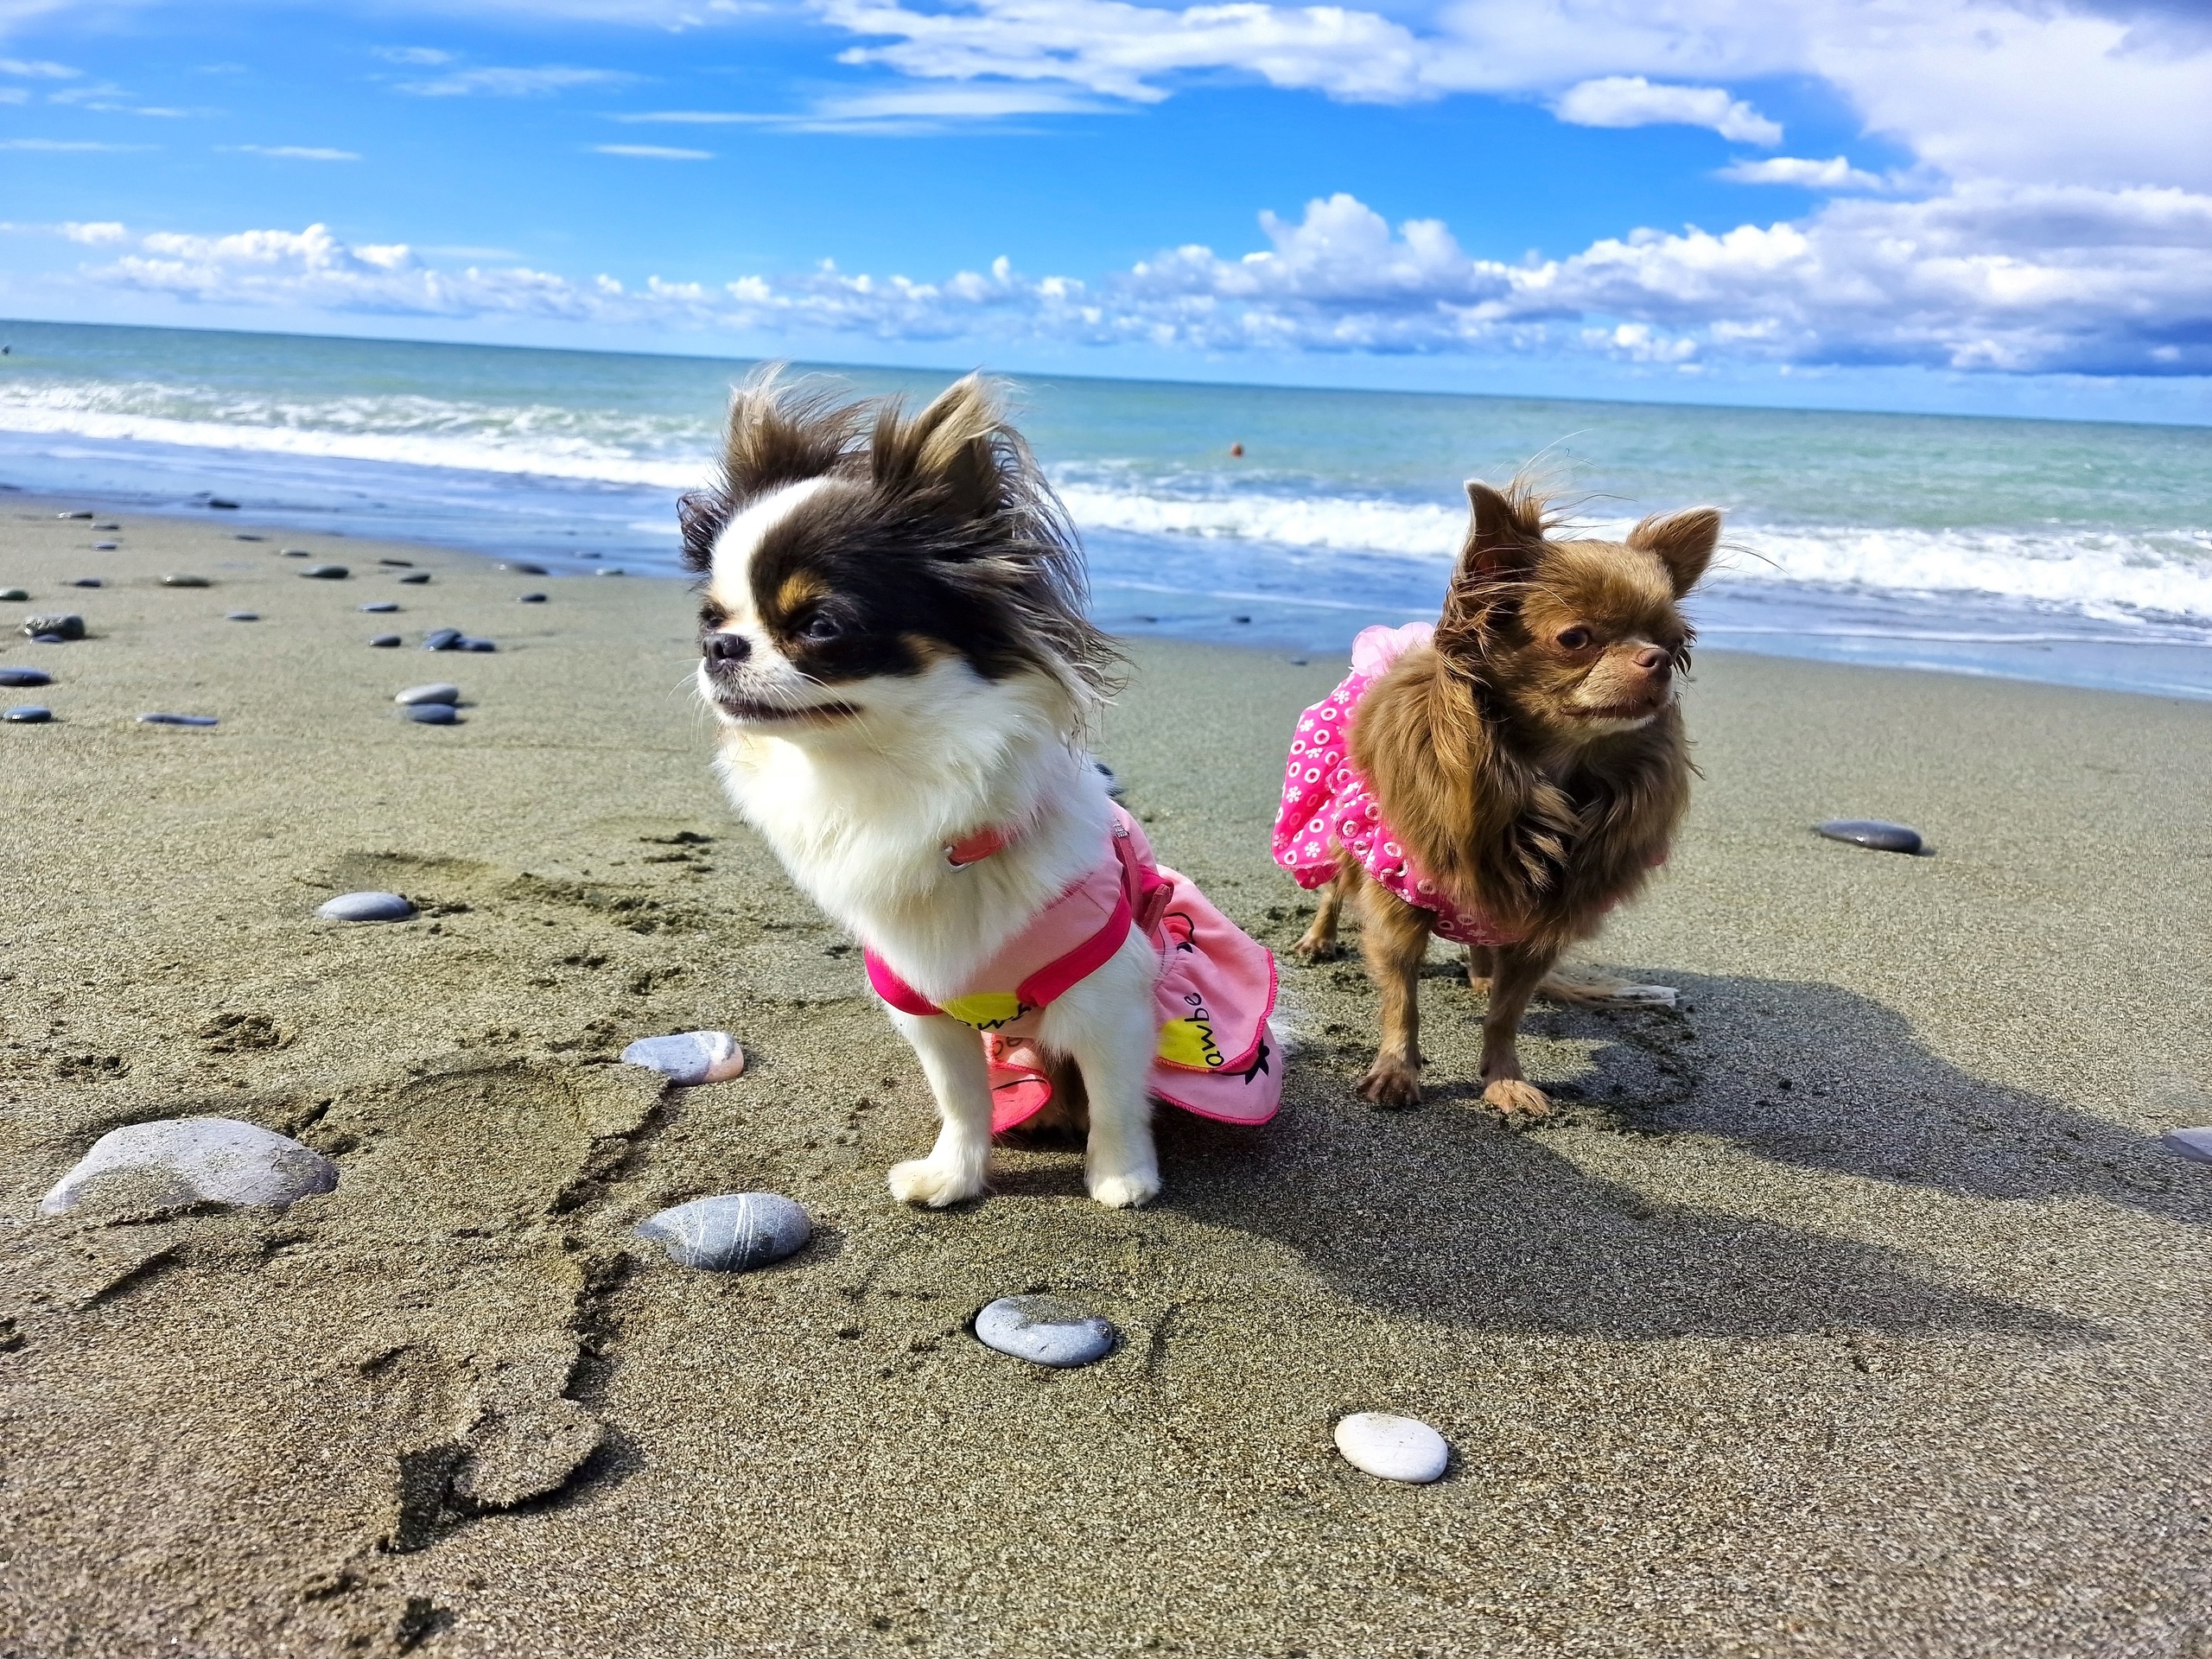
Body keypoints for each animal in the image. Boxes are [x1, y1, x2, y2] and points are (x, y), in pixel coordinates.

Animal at [688, 371, 1279, 1210]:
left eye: (820, 625)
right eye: (709, 617)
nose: (719, 647)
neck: (894, 776)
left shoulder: (1114, 995)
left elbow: (1117, 1096)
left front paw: (1122, 1175)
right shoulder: (927, 1008)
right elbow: (962, 1098)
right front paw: (955, 1174)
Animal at [1273, 477, 1717, 1116]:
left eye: (1671, 643)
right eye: (1575, 639)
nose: (1656, 660)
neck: (1544, 773)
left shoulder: (1538, 929)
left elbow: (1506, 1013)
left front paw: (1503, 1078)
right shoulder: (1396, 900)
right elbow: (1401, 999)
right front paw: (1395, 1071)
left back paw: (1481, 971)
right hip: (1341, 835)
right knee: (1333, 889)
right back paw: (1318, 939)